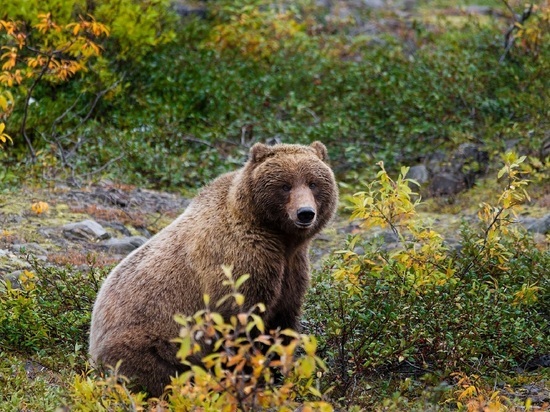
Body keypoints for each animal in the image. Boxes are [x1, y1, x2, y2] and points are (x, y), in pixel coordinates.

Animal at [88, 141, 338, 396]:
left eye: (313, 183)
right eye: (285, 185)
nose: (305, 213)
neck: (278, 237)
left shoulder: (292, 269)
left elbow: (283, 324)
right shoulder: (239, 262)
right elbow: (240, 324)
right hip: (151, 341)